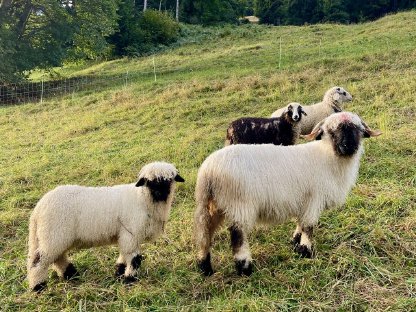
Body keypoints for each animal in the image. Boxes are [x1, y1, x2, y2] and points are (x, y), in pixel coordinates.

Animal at [26, 162, 184, 292]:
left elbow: (124, 255)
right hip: (53, 235)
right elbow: (135, 258)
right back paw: (38, 286)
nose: (160, 193)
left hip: (56, 237)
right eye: (149, 182)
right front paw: (129, 279)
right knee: (39, 261)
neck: (142, 199)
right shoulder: (130, 234)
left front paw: (119, 272)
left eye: (169, 180)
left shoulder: (124, 235)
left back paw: (71, 275)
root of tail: (38, 208)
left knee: (58, 257)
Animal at [193, 111, 382, 276]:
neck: (328, 157)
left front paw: (296, 242)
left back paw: (205, 267)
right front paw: (306, 251)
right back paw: (244, 268)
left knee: (205, 234)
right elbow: (309, 226)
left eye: (357, 129)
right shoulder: (314, 198)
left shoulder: (303, 200)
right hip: (239, 204)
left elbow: (301, 223)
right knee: (237, 235)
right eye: (331, 131)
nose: (347, 147)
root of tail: (208, 171)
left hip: (212, 205)